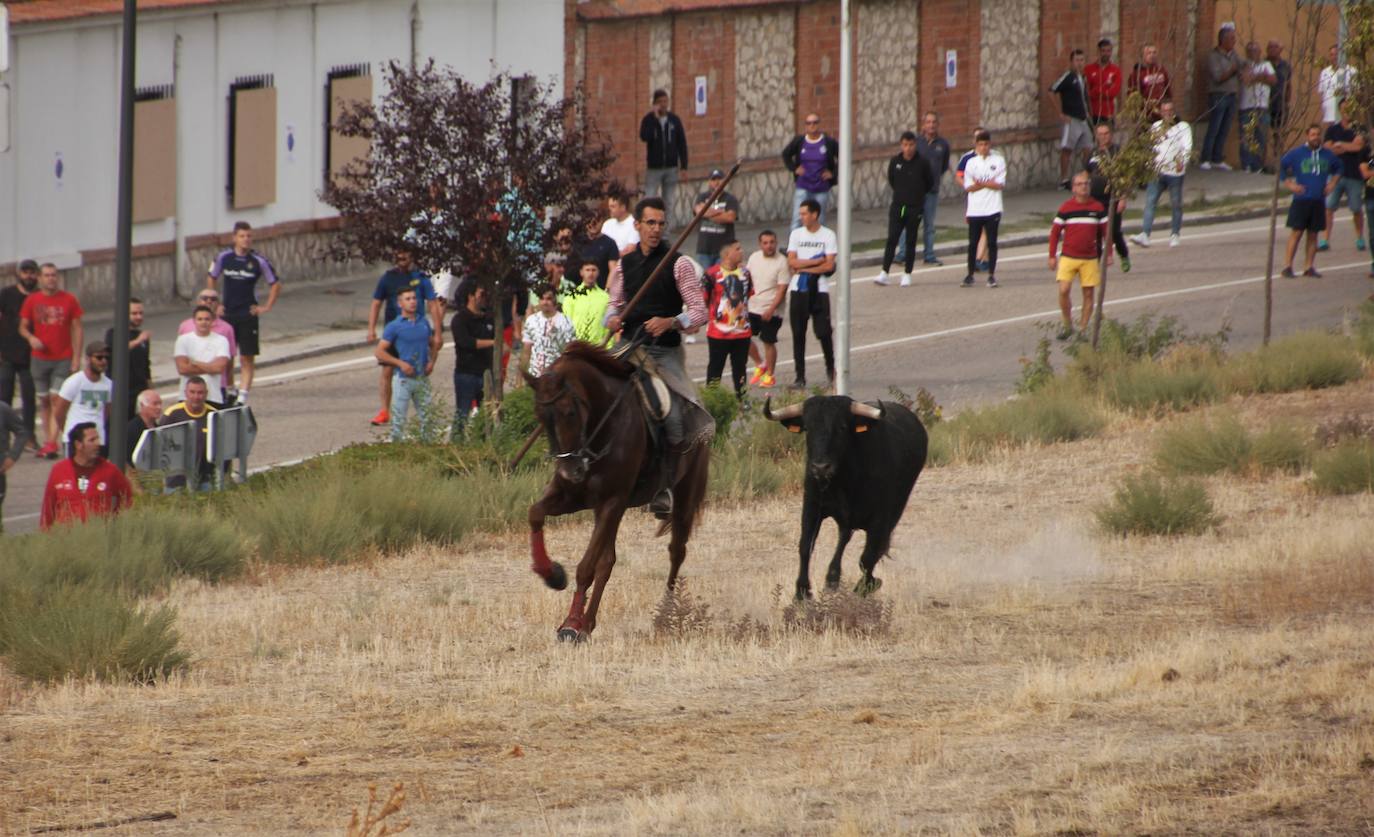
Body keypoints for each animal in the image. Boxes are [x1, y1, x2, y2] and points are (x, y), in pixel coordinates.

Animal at [516, 339, 703, 640]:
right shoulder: (574, 497)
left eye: (569, 413)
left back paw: (665, 612)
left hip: (685, 494)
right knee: (608, 561)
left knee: (676, 551)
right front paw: (552, 575)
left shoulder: (611, 501)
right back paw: (588, 623)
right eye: (540, 417)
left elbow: (585, 568)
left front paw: (571, 624)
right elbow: (535, 513)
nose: (570, 471)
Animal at [763, 395, 934, 596]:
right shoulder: (812, 507)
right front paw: (802, 592)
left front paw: (866, 586)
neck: (844, 481)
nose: (820, 468)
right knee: (844, 537)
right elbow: (805, 546)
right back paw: (832, 577)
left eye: (842, 427)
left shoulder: (881, 517)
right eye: (808, 428)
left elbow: (868, 556)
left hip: (896, 509)